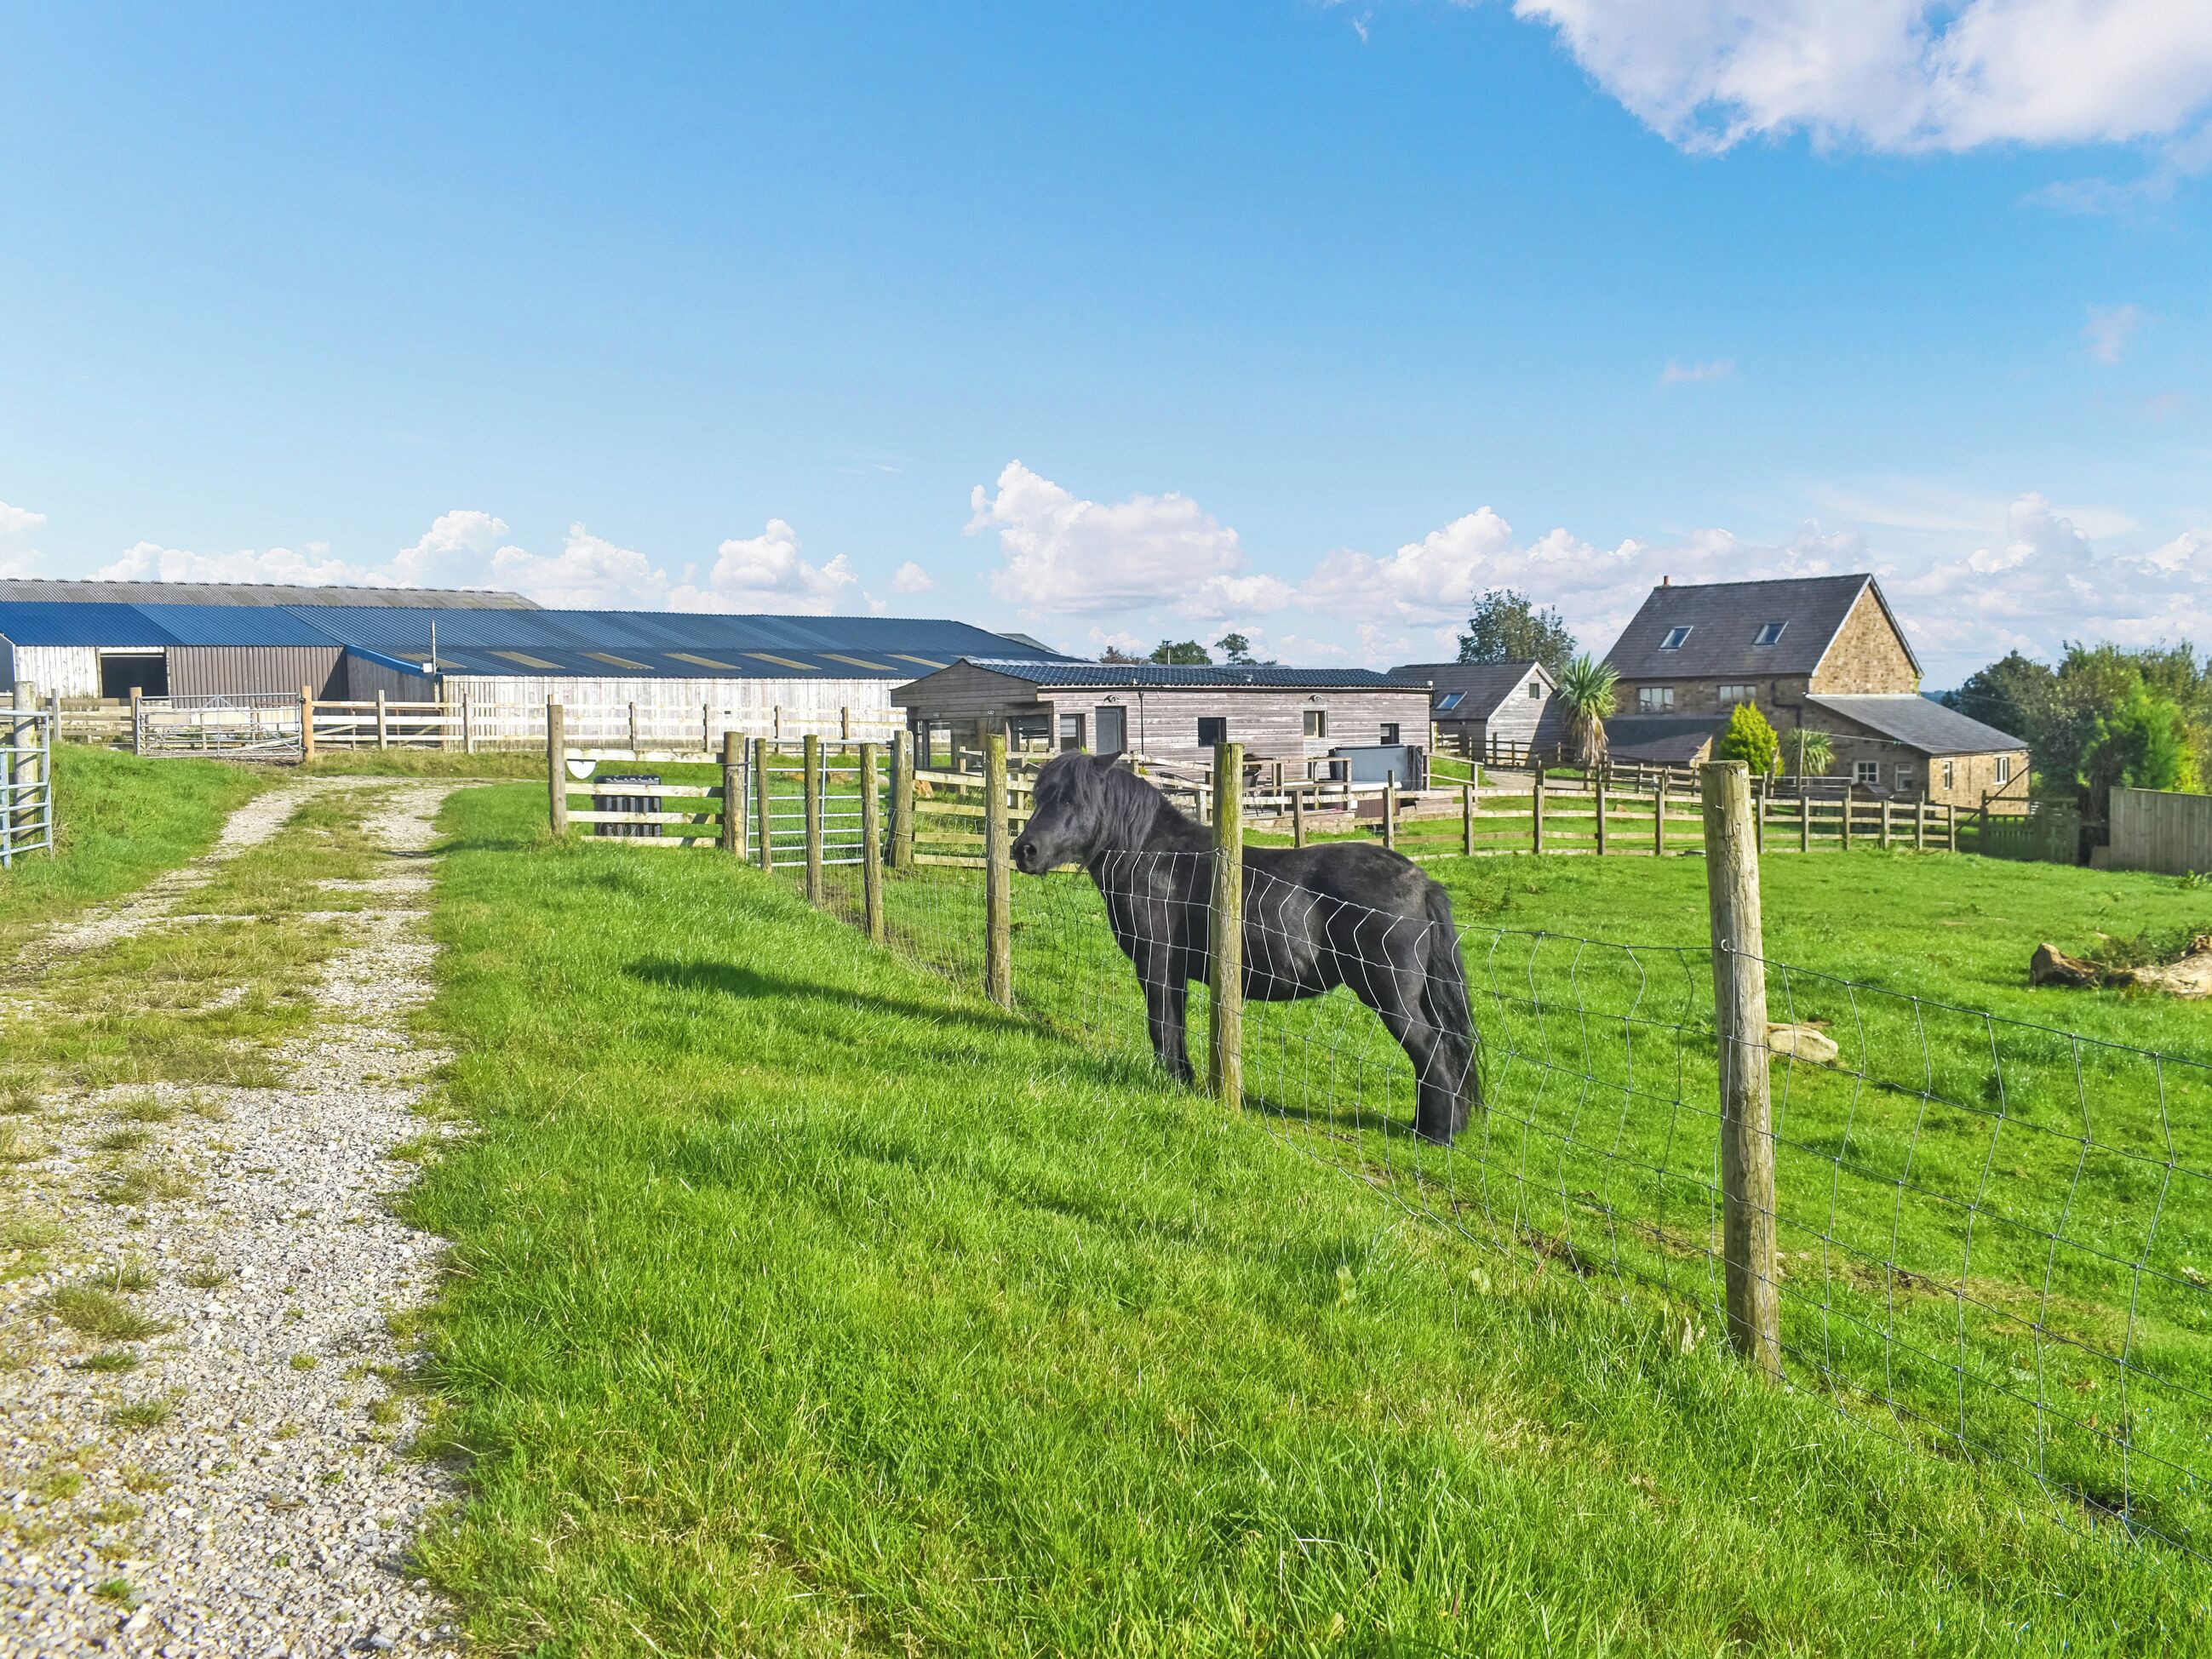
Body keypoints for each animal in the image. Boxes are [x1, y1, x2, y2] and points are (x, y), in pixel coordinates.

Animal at [1012, 752, 1479, 1144]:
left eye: (1072, 799)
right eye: (1039, 797)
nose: (1024, 850)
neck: (1156, 859)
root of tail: (1420, 882)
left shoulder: (1156, 963)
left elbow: (1161, 1024)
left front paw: (1168, 1081)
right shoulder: (1176, 971)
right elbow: (1175, 1025)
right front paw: (1183, 1082)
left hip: (1391, 995)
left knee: (1432, 1051)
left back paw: (1436, 1134)